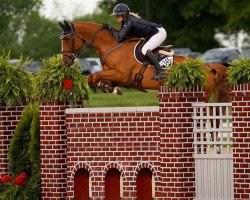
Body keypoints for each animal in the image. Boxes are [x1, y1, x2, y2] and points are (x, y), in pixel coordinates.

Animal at [58, 20, 230, 103]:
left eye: (66, 38)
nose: (65, 61)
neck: (112, 46)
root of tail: (208, 67)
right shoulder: (112, 75)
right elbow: (92, 77)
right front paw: (110, 88)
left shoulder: (122, 76)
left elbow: (93, 76)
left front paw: (111, 89)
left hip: (203, 94)